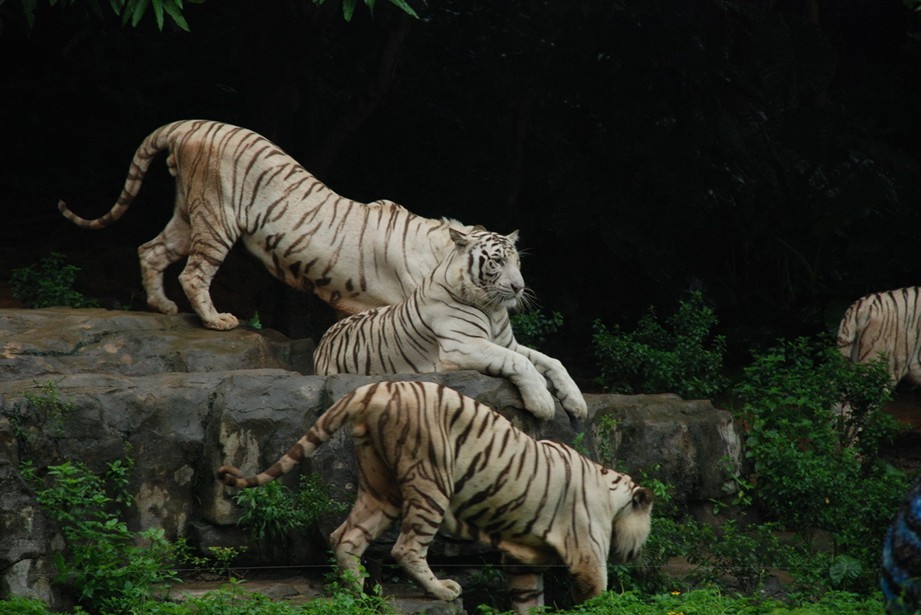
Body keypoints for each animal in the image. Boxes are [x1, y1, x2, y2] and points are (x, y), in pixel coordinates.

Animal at [58, 121, 478, 332]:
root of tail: (189, 124)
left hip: (189, 215)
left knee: (151, 250)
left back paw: (163, 307)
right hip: (216, 217)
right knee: (193, 274)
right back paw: (217, 321)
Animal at [214, 382, 656, 612]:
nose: (639, 552)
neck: (614, 497)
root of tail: (371, 387)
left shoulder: (523, 559)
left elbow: (528, 599)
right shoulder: (587, 555)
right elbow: (593, 597)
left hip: (381, 487)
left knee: (346, 537)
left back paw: (360, 593)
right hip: (430, 482)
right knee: (405, 548)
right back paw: (442, 590)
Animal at [310, 229, 584, 422]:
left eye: (518, 262)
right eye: (497, 261)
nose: (519, 287)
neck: (493, 309)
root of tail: (321, 341)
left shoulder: (508, 343)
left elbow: (552, 362)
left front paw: (578, 403)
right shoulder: (463, 344)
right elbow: (521, 362)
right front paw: (543, 402)